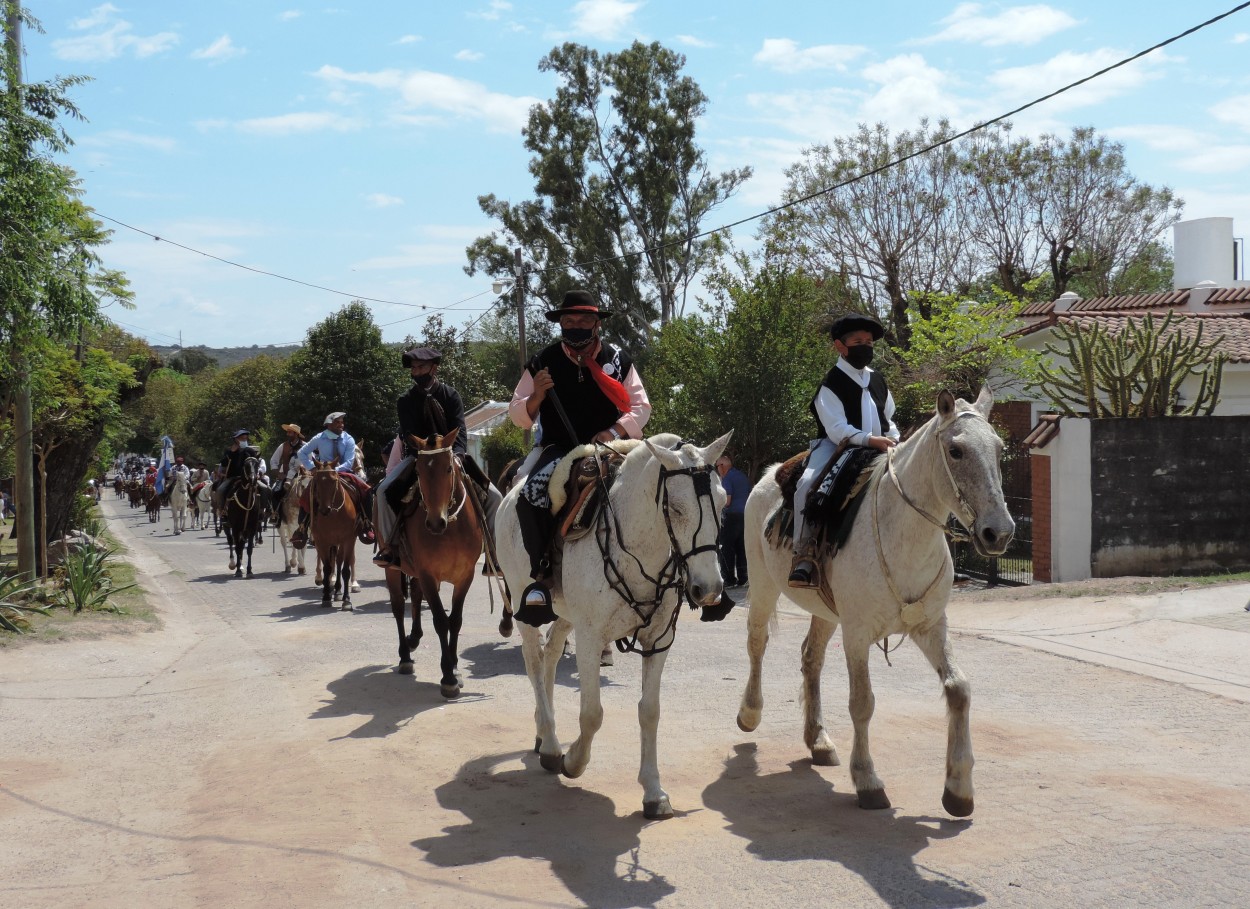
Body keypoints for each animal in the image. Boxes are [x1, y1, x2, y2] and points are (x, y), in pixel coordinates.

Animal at [307, 462, 357, 612]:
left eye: (334, 480)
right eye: (317, 481)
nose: (324, 509)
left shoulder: (349, 540)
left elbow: (345, 569)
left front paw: (346, 600)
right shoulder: (322, 542)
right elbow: (327, 568)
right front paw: (326, 597)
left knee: (339, 561)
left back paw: (338, 591)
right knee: (331, 563)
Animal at [385, 430, 487, 700]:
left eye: (449, 468)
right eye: (418, 471)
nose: (434, 523)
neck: (451, 528)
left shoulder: (465, 576)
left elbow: (456, 620)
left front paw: (455, 668)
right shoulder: (428, 574)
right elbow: (441, 621)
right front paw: (448, 677)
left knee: (415, 596)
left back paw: (414, 638)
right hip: (392, 569)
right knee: (398, 607)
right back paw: (405, 656)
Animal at [495, 430, 730, 820]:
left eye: (724, 502)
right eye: (676, 508)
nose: (709, 589)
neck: (638, 549)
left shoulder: (658, 640)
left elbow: (650, 711)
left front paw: (653, 792)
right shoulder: (591, 638)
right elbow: (592, 714)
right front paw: (574, 762)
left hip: (566, 615)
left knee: (551, 655)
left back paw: (545, 734)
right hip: (524, 604)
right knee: (534, 663)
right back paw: (551, 746)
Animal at [730, 387, 1015, 820]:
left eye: (999, 449)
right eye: (956, 451)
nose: (998, 532)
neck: (904, 534)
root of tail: (770, 475)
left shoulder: (931, 626)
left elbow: (959, 689)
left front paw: (959, 789)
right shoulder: (857, 634)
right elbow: (862, 703)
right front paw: (867, 780)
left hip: (825, 611)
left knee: (811, 658)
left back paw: (819, 741)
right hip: (763, 586)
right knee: (757, 644)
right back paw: (750, 713)